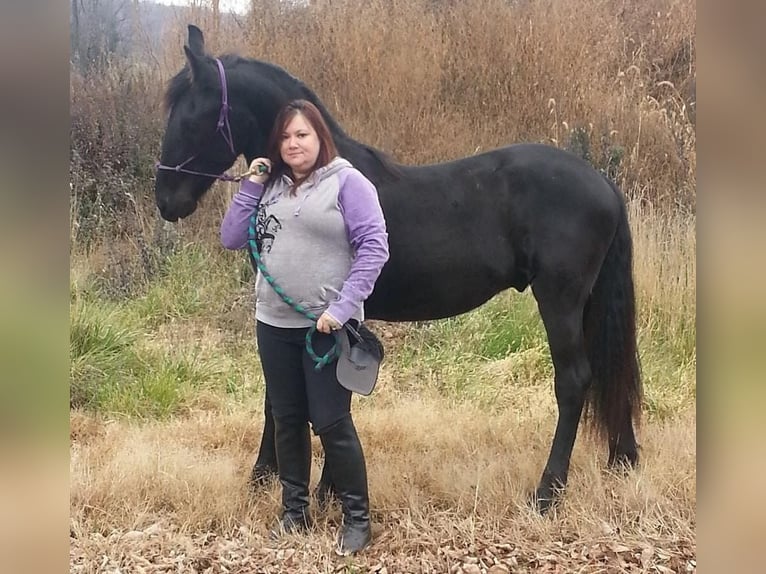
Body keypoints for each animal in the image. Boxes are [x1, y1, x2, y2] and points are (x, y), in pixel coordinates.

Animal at [154, 25, 640, 512]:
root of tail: (603, 183)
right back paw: (623, 459)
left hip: (559, 299)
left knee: (573, 380)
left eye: (191, 120)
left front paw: (304, 482)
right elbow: (287, 390)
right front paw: (284, 476)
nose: (166, 201)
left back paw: (548, 490)